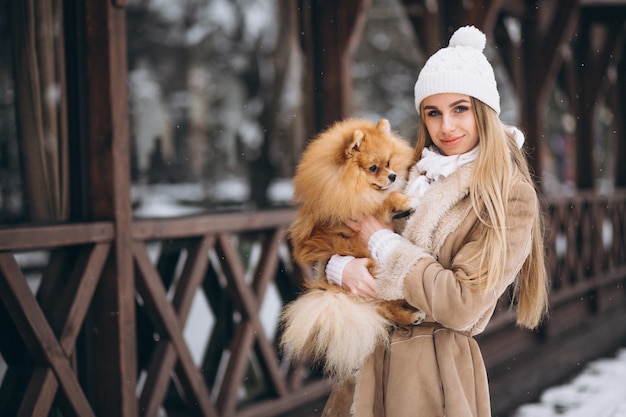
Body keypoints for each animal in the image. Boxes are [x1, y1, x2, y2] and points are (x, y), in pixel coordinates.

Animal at [280, 117, 422, 380]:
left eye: (389, 163)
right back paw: (411, 315)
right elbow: (385, 201)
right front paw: (405, 201)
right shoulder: (357, 212)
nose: (393, 176)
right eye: (373, 168)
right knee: (383, 306)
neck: (347, 186)